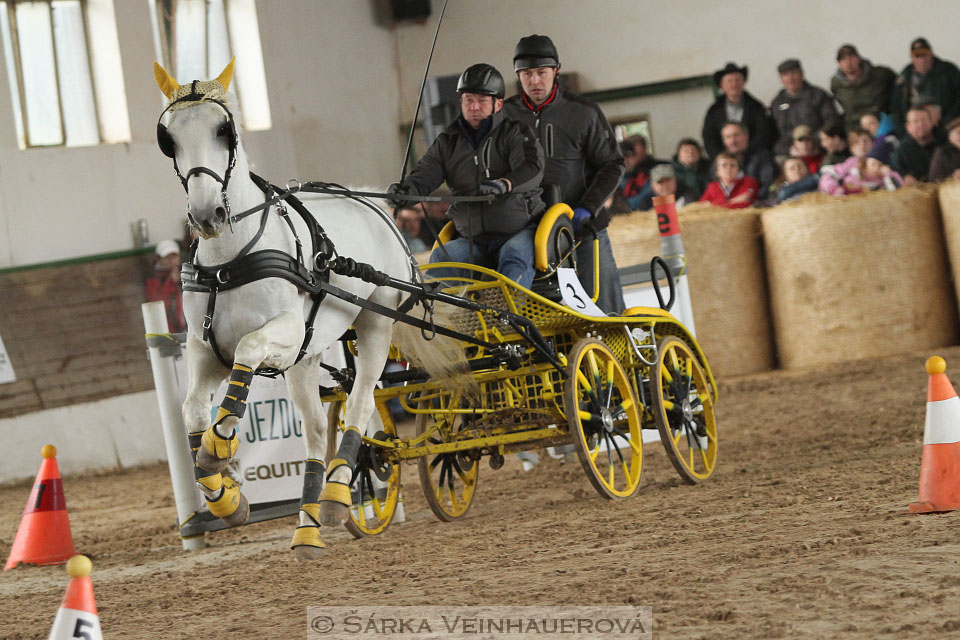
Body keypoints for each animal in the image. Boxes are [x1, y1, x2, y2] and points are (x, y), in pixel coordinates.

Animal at [154, 60, 412, 556]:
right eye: (168, 138)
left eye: (224, 131)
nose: (207, 216)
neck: (230, 261)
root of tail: (371, 201)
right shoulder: (204, 348)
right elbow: (192, 409)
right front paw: (224, 494)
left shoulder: (283, 330)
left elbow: (248, 351)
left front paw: (219, 448)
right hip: (305, 360)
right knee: (315, 431)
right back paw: (308, 527)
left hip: (375, 323)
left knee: (361, 402)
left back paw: (337, 495)